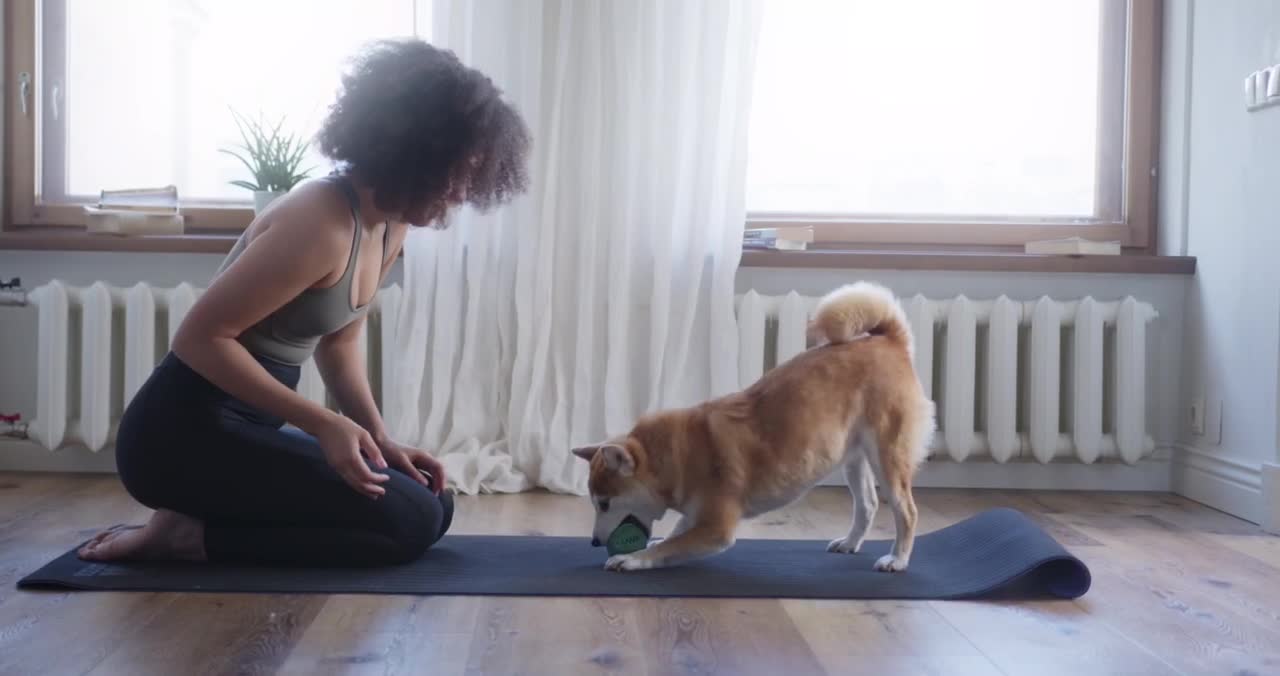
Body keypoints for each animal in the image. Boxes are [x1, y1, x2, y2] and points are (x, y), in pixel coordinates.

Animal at [576, 282, 936, 573]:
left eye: (604, 503)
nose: (593, 542)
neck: (678, 455)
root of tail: (889, 341)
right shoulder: (696, 514)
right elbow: (675, 534)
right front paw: (652, 543)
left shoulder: (716, 528)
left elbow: (671, 546)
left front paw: (631, 558)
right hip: (853, 458)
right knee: (868, 505)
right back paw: (850, 543)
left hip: (887, 458)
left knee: (907, 511)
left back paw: (898, 559)